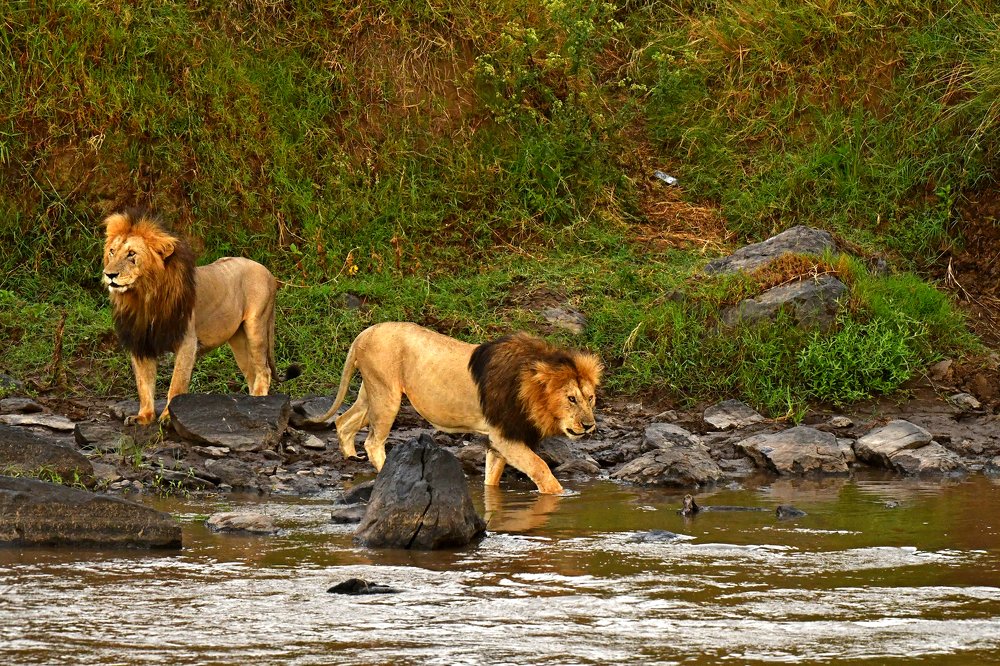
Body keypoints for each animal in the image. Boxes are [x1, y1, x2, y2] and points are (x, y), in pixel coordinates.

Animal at [102, 210, 297, 425]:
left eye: (131, 254)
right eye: (112, 252)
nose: (109, 274)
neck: (142, 298)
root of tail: (268, 272)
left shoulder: (187, 341)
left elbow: (177, 383)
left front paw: (168, 417)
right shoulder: (141, 343)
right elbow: (144, 384)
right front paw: (143, 417)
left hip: (257, 325)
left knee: (264, 371)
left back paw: (258, 404)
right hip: (238, 339)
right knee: (252, 373)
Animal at [308, 322, 602, 494]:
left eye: (590, 398)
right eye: (571, 398)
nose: (589, 426)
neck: (529, 392)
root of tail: (364, 333)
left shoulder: (497, 439)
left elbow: (492, 477)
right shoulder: (504, 436)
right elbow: (541, 468)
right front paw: (559, 497)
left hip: (370, 392)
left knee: (343, 422)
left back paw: (350, 457)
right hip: (386, 395)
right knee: (372, 442)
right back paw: (384, 475)